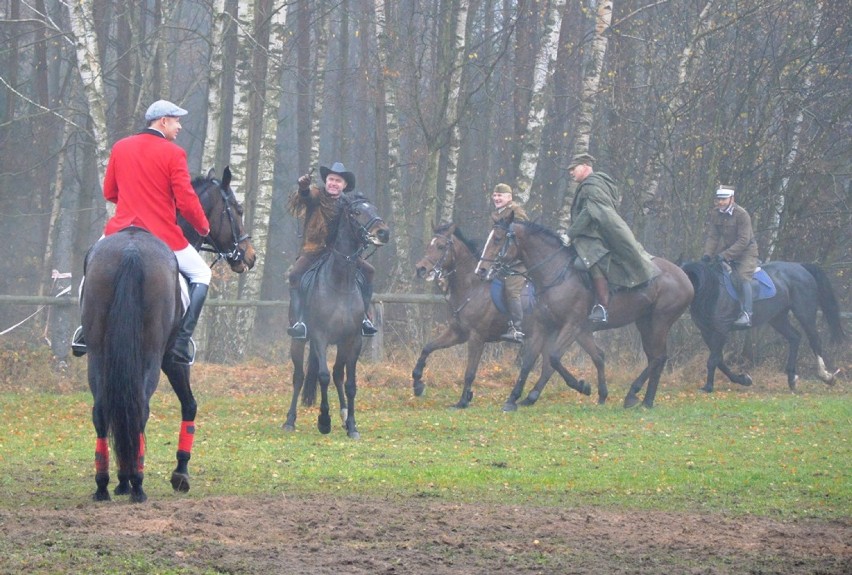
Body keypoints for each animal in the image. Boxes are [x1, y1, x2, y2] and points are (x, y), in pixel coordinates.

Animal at [83, 164, 256, 502]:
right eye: (237, 209)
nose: (249, 255)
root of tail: (131, 249)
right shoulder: (172, 360)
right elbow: (190, 405)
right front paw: (180, 473)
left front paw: (121, 481)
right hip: (150, 356)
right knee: (140, 408)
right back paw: (137, 483)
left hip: (98, 354)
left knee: (103, 411)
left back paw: (104, 484)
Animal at [286, 196, 392, 438]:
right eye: (355, 212)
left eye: (374, 208)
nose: (383, 233)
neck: (340, 283)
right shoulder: (320, 337)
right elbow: (323, 376)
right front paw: (324, 421)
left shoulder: (353, 340)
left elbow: (349, 383)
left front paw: (352, 425)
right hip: (298, 341)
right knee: (299, 377)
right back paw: (289, 421)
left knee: (337, 375)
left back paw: (343, 417)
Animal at [414, 223, 608, 412]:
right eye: (429, 245)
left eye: (440, 246)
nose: (421, 268)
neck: (472, 287)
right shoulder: (457, 333)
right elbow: (427, 348)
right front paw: (417, 384)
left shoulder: (476, 337)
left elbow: (470, 372)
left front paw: (462, 401)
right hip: (570, 330)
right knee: (585, 357)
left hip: (568, 328)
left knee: (555, 361)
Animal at [476, 216, 696, 410]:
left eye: (497, 239)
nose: (481, 270)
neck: (555, 273)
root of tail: (683, 275)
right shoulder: (548, 327)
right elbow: (530, 361)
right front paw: (513, 398)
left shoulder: (572, 326)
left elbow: (554, 358)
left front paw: (582, 386)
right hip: (645, 323)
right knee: (655, 358)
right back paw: (646, 400)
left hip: (659, 322)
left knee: (658, 357)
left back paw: (634, 395)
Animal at [680, 260, 844, 392]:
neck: (713, 292)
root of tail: (801, 267)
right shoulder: (706, 332)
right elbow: (719, 360)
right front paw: (744, 380)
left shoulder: (721, 330)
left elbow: (713, 359)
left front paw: (708, 387)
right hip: (778, 317)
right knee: (795, 337)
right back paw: (792, 378)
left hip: (804, 313)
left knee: (814, 340)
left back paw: (826, 376)